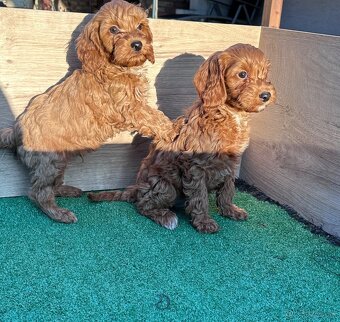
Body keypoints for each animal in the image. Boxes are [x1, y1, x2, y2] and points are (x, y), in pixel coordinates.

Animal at [0, 0, 175, 223]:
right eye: (113, 29)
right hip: (49, 161)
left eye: (140, 26)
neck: (114, 66)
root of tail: (15, 130)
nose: (137, 44)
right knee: (38, 192)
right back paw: (59, 213)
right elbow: (152, 116)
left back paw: (68, 190)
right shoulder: (130, 107)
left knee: (51, 185)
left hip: (59, 160)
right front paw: (171, 129)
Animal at [88, 44, 276, 233]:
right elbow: (200, 197)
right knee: (143, 204)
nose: (266, 95)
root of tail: (137, 188)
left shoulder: (231, 162)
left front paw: (230, 210)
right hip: (164, 186)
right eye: (242, 74)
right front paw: (204, 222)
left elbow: (228, 189)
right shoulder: (196, 167)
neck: (228, 114)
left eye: (265, 73)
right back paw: (165, 217)